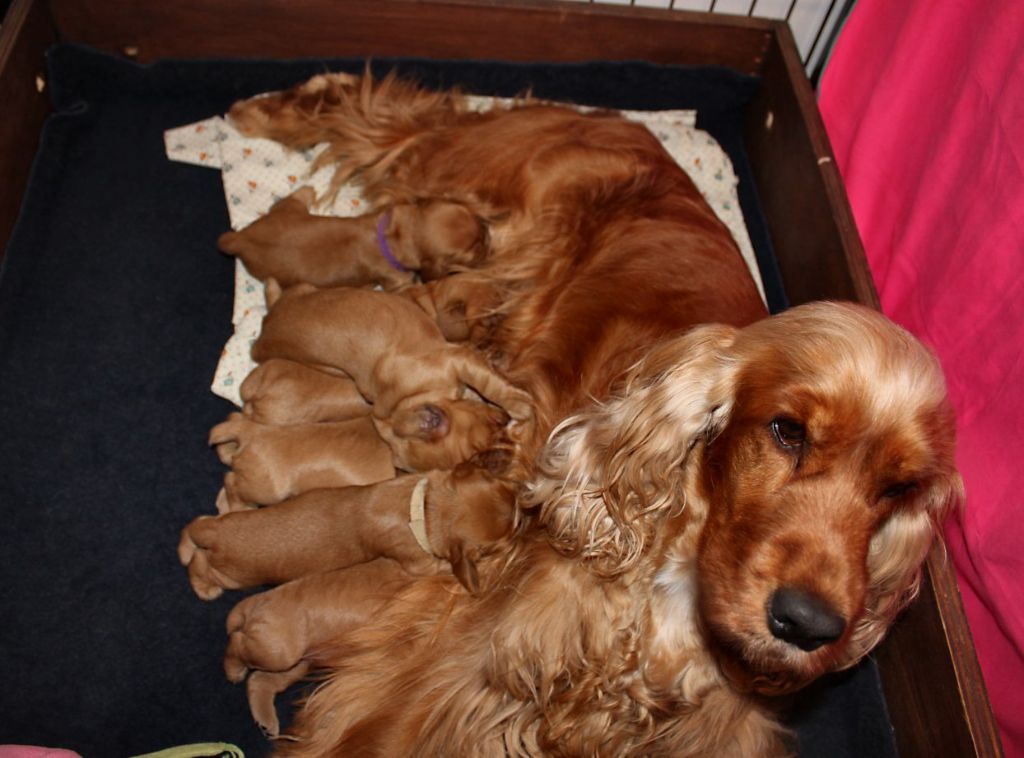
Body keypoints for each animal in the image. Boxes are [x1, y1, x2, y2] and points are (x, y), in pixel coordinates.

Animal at [178, 462, 516, 598]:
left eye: (505, 486)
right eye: (498, 545)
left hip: (221, 521)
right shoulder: (418, 562)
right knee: (199, 564)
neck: (423, 505)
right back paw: (203, 586)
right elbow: (444, 567)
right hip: (233, 575)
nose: (522, 514)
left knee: (198, 522)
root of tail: (217, 534)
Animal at [217, 185, 486, 289]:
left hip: (286, 211)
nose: (486, 229)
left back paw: (307, 191)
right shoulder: (397, 282)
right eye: (473, 249)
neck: (394, 236)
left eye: (472, 215)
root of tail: (239, 238)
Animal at [221, 560, 413, 738]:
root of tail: (254, 601)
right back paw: (233, 672)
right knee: (236, 643)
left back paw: (266, 722)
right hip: (278, 650)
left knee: (259, 679)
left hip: (296, 664)